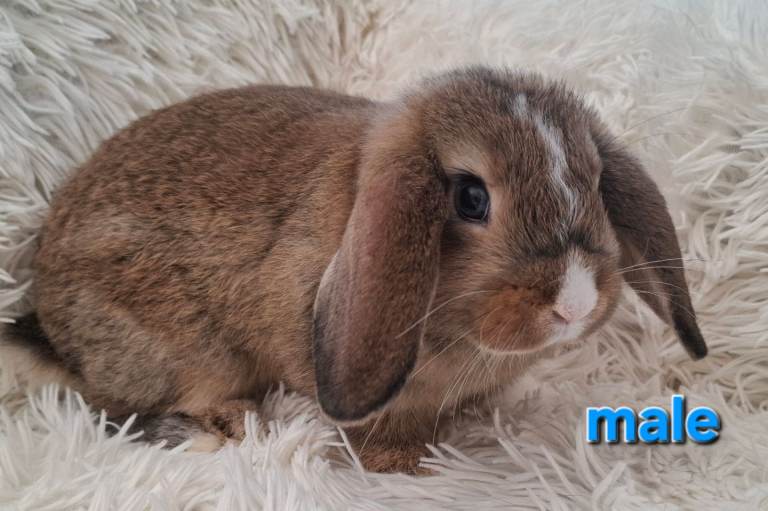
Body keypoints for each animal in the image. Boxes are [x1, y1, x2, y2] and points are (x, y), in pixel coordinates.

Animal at [2, 66, 707, 474]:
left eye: (595, 181)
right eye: (470, 198)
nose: (576, 302)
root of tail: (49, 329)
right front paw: (404, 466)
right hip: (180, 350)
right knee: (117, 408)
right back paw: (226, 428)